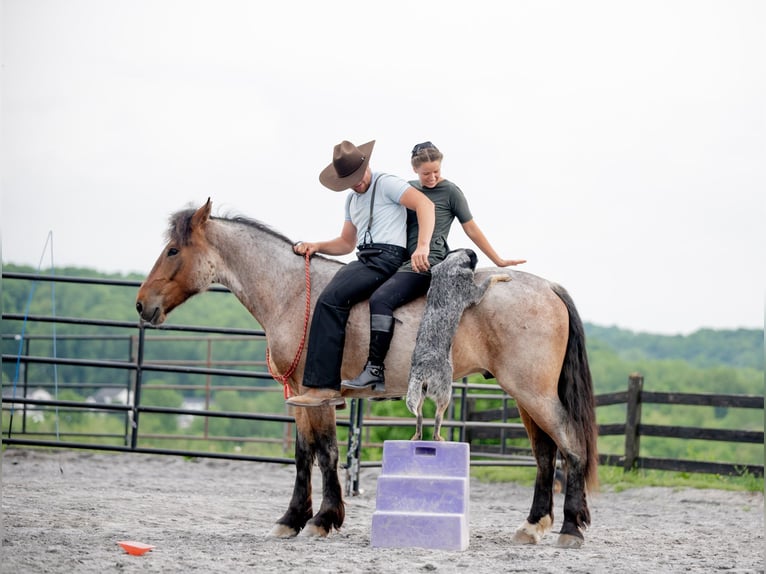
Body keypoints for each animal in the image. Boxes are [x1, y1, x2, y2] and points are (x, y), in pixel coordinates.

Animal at [404, 250, 512, 444]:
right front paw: (503, 276)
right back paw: (439, 437)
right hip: (445, 392)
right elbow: (490, 279)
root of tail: (422, 370)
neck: (451, 264)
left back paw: (417, 435)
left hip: (419, 394)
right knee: (437, 418)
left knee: (419, 417)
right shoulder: (474, 292)